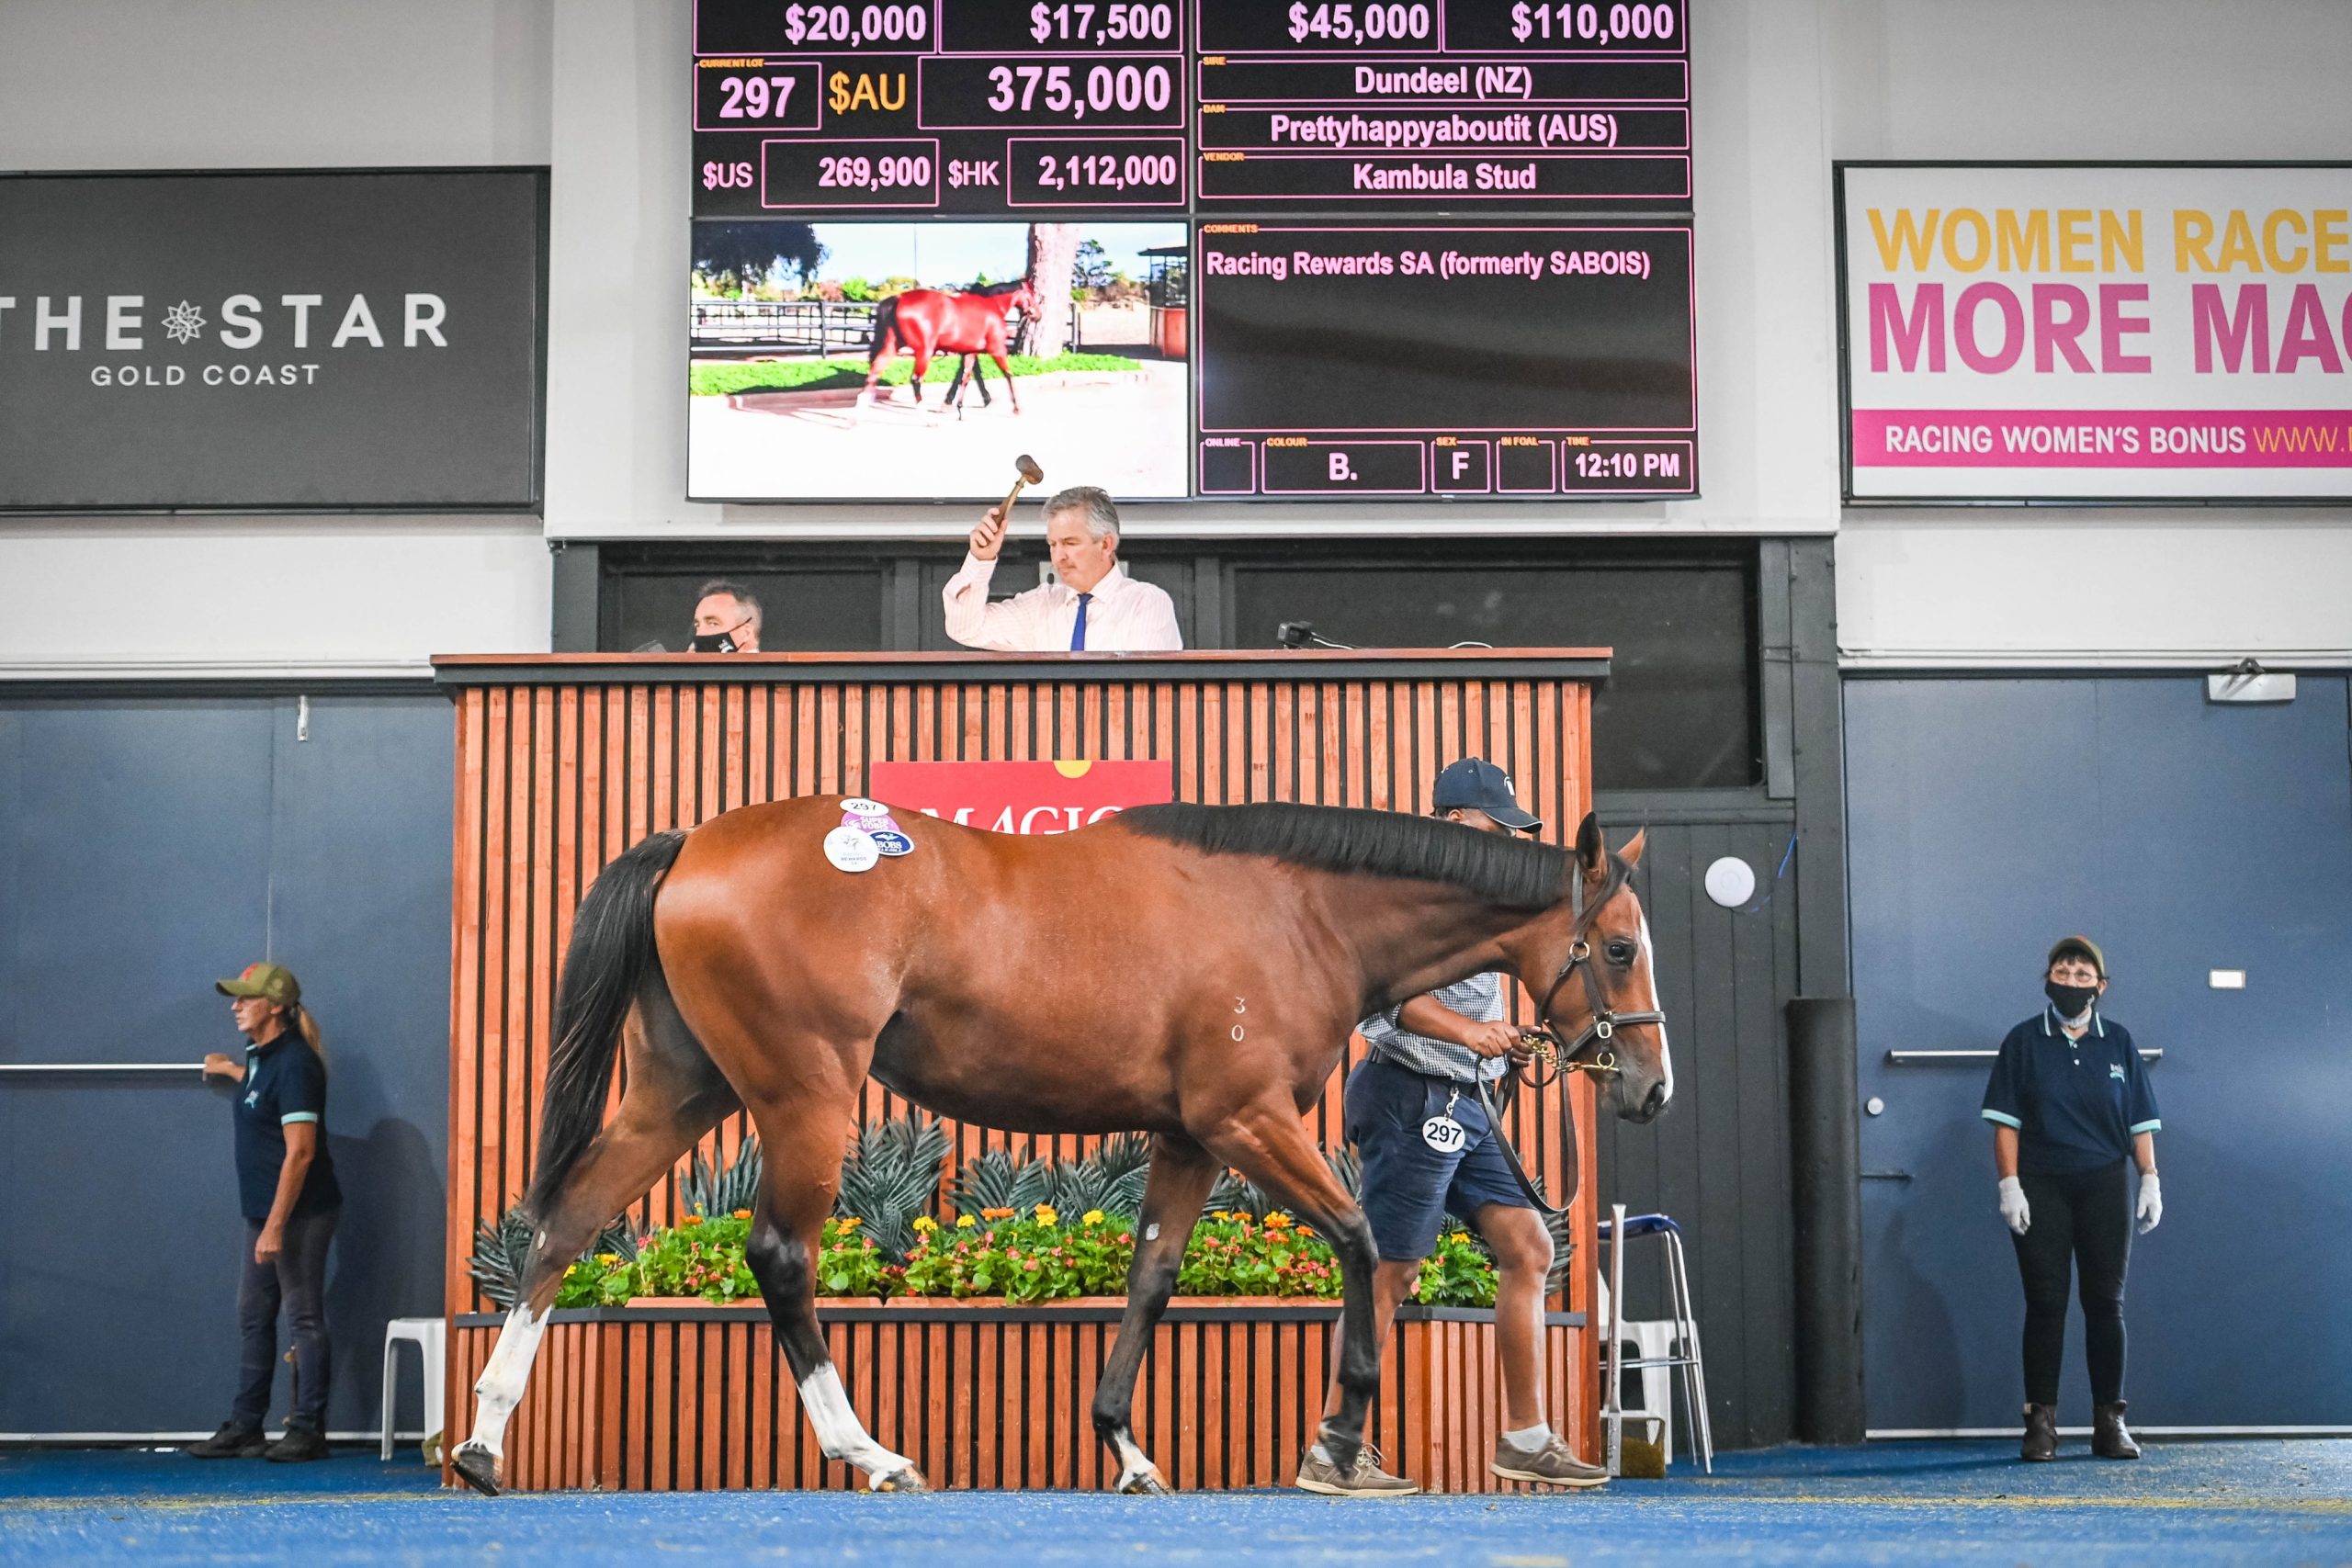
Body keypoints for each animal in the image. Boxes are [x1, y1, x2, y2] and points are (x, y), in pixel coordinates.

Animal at [454, 799, 1674, 1495]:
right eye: (1617, 947)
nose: (1651, 1086)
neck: (1293, 909)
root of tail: (693, 843)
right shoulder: (1247, 1119)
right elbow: (1360, 1239)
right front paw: (1336, 1443)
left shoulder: (1185, 1137)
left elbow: (1150, 1278)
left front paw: (1126, 1449)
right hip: (807, 1095)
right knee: (782, 1259)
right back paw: (868, 1452)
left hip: (683, 1090)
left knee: (565, 1225)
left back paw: (484, 1441)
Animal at [855, 278, 1039, 411]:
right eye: (1032, 294)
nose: (1038, 314)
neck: (992, 307)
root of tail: (899, 298)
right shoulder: (997, 349)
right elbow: (1007, 373)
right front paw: (1015, 407)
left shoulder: (970, 352)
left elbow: (967, 375)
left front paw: (959, 406)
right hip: (924, 351)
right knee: (915, 380)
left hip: (892, 346)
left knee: (873, 374)